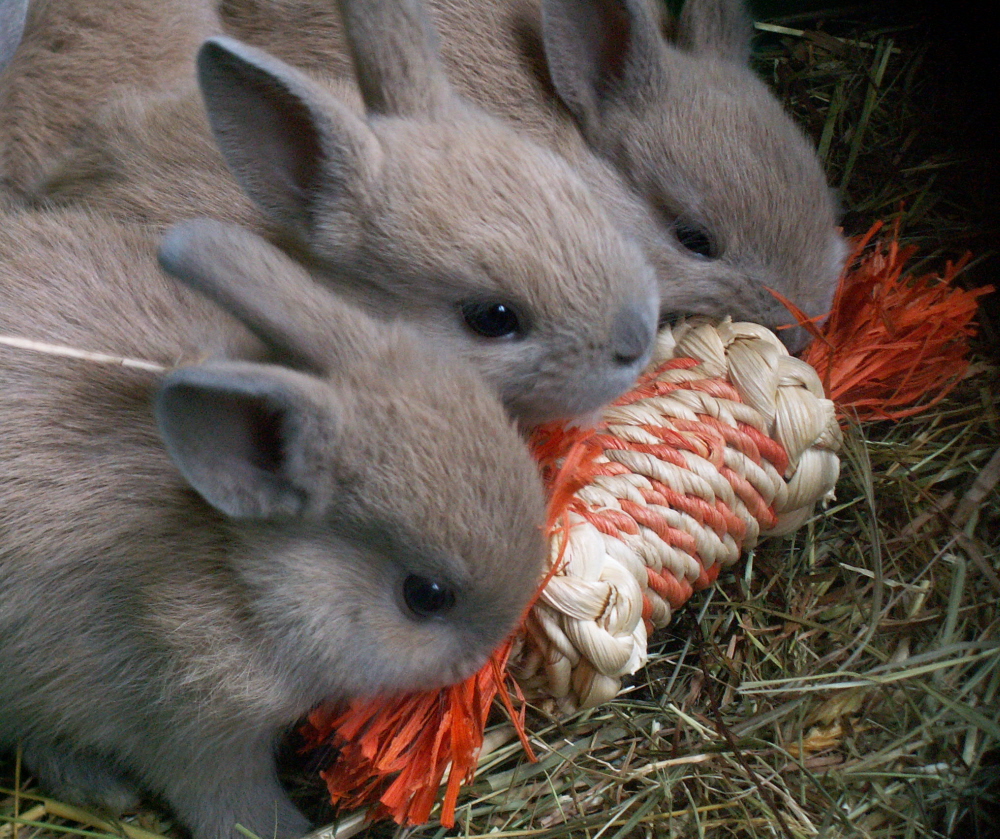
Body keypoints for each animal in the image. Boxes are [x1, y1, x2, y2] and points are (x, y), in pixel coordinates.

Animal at [0, 208, 548, 839]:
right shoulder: (195, 730)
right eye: (426, 596)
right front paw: (289, 828)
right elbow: (232, 804)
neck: (238, 572)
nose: (492, 650)